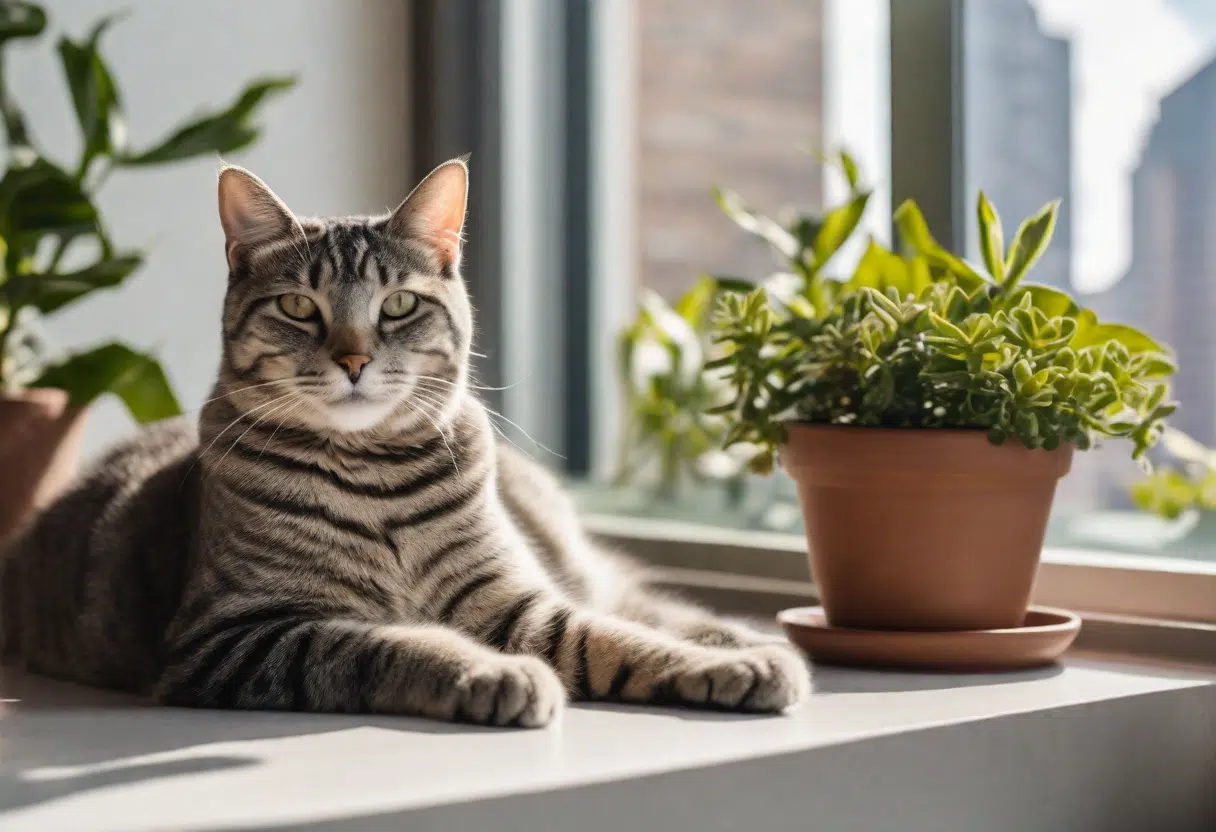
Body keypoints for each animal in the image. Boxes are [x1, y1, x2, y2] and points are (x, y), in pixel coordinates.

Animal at [2, 159, 817, 724]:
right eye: (299, 306)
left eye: (396, 305)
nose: (354, 359)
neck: (376, 480)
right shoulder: (236, 636)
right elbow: (386, 643)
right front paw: (491, 673)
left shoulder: (512, 597)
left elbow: (609, 639)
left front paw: (721, 665)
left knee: (636, 601)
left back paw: (741, 641)